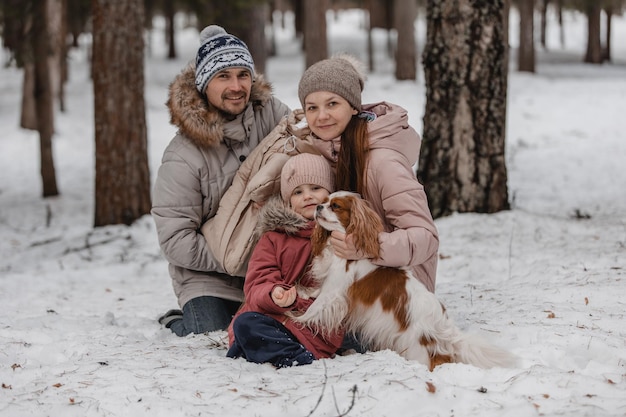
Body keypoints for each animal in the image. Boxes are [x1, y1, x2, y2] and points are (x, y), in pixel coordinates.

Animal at [290, 190, 516, 368]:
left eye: (335, 206)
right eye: (324, 200)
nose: (318, 206)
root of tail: (445, 325)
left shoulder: (335, 290)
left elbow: (315, 308)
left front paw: (296, 319)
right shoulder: (329, 283)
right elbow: (316, 293)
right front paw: (303, 292)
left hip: (417, 345)